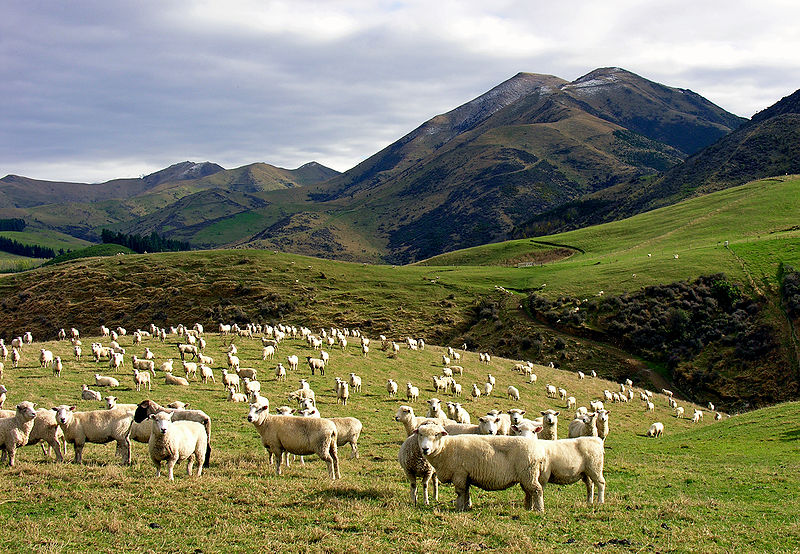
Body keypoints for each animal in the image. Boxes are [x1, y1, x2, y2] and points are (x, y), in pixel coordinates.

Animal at [414, 422, 545, 511]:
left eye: (436, 434)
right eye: (420, 434)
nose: (425, 449)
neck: (445, 448)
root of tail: (536, 449)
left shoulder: (459, 473)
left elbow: (460, 492)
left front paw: (459, 508)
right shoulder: (466, 475)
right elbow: (467, 491)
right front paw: (467, 506)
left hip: (528, 473)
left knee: (537, 490)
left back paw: (539, 510)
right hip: (525, 476)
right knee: (529, 492)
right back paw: (528, 507)